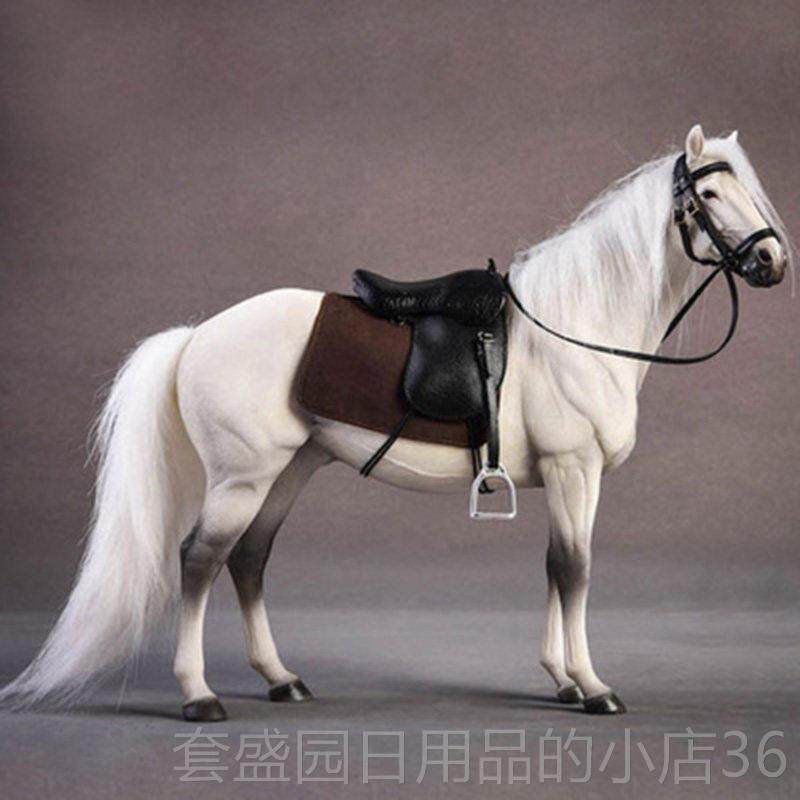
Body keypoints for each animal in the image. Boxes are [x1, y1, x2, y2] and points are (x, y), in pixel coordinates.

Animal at [0, 124, 790, 720]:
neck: (577, 323)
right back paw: (198, 695)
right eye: (711, 193)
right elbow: (575, 570)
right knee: (200, 559)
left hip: (288, 471)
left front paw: (563, 680)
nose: (772, 261)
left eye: (749, 188)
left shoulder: (574, 479)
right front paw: (593, 687)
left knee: (250, 560)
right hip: (242, 478)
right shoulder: (574, 470)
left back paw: (281, 679)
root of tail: (197, 336)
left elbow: (556, 568)